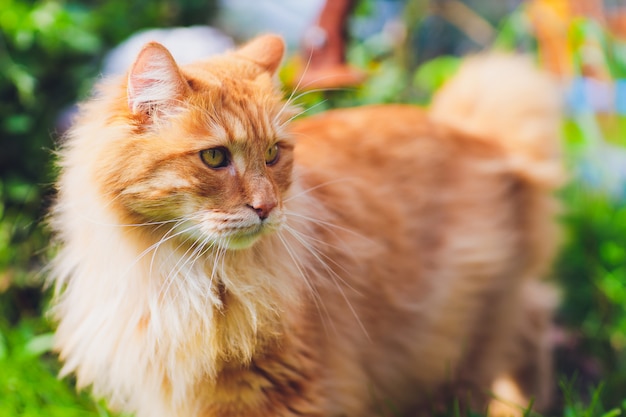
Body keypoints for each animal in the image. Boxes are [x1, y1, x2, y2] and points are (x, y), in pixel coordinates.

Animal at [48, 35, 560, 416]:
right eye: (214, 158)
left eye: (274, 153)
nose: (266, 207)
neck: (177, 276)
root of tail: (479, 135)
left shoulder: (293, 389)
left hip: (466, 337)